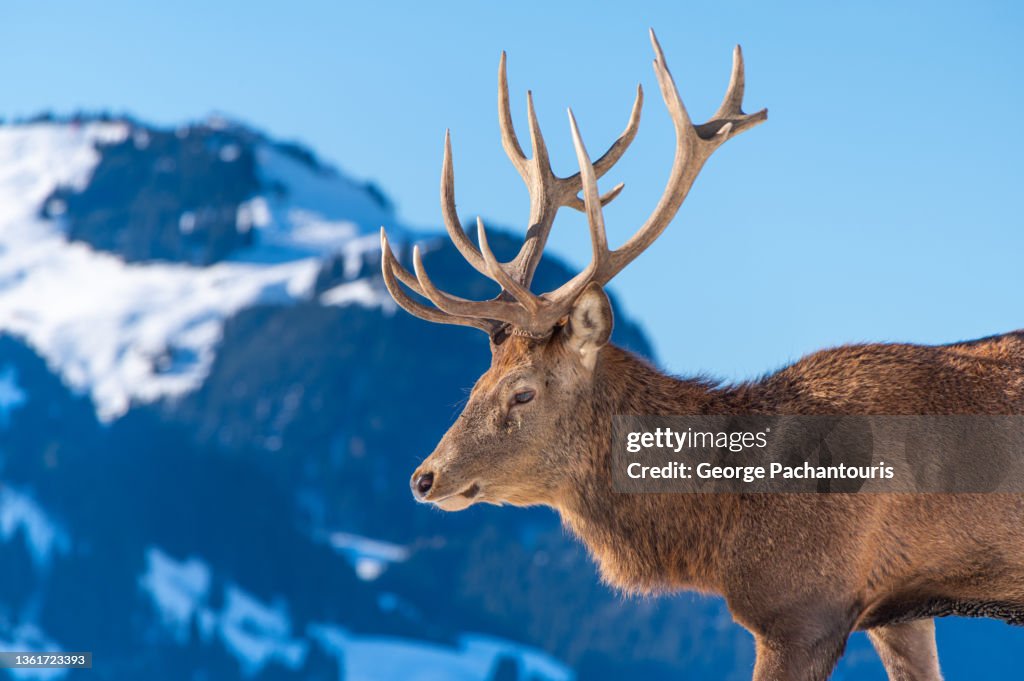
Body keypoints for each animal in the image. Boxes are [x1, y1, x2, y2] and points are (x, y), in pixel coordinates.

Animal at [378, 30, 1024, 681]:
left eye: (523, 391)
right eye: (474, 384)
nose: (424, 478)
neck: (725, 529)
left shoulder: (804, 607)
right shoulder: (899, 611)